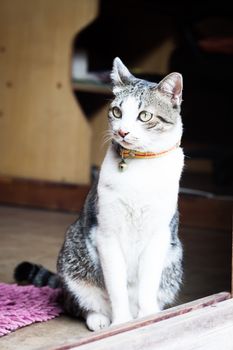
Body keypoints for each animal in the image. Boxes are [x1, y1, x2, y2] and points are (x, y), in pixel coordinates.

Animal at [54, 57, 184, 330]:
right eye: (117, 112)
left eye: (144, 116)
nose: (122, 132)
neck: (140, 168)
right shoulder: (107, 235)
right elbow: (116, 286)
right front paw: (122, 324)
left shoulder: (159, 235)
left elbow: (147, 284)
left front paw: (147, 319)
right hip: (73, 253)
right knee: (79, 302)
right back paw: (100, 320)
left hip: (174, 258)